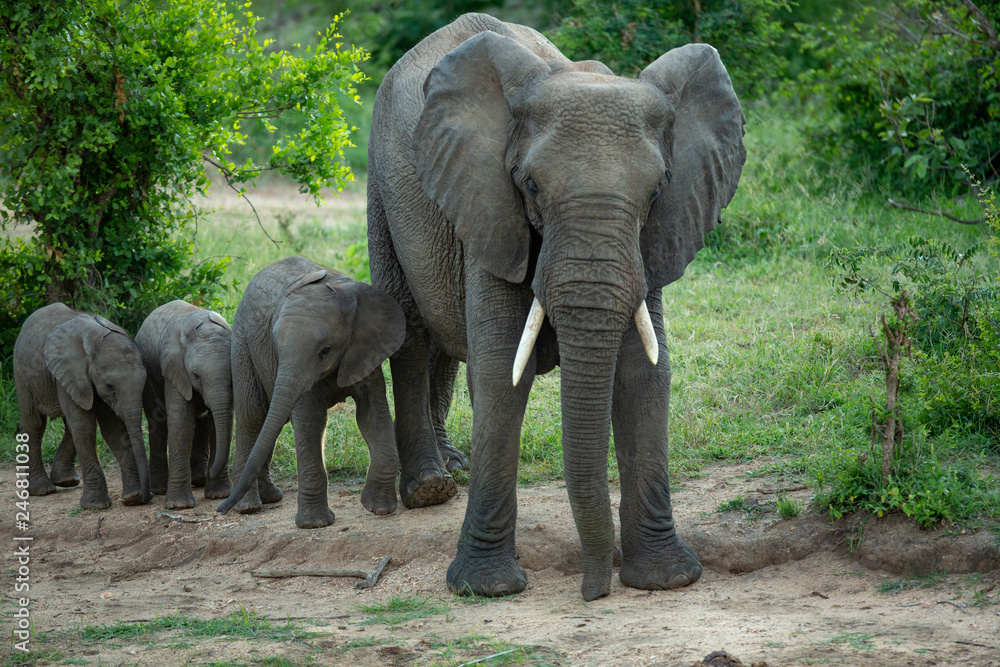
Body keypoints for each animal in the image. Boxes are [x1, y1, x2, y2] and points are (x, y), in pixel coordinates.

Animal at [13, 303, 152, 508]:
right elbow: (85, 427)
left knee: (69, 426)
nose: (146, 498)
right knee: (35, 423)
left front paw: (132, 497)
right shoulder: (72, 371)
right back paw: (43, 490)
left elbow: (113, 430)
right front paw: (96, 505)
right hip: (23, 374)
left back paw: (66, 481)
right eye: (110, 386)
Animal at [136, 300, 234, 509]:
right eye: (196, 376)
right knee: (158, 424)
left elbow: (218, 421)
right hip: (148, 374)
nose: (213, 470)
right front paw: (178, 505)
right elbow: (181, 422)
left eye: (231, 375)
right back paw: (160, 489)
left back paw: (200, 479)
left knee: (201, 418)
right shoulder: (174, 368)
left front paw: (219, 494)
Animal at [216, 256, 407, 529]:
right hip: (242, 344)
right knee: (252, 416)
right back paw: (248, 507)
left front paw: (378, 508)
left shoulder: (365, 349)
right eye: (276, 348)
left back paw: (270, 497)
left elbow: (372, 413)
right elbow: (310, 420)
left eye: (325, 351)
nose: (220, 510)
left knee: (269, 421)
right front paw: (315, 524)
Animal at [366, 14, 745, 600]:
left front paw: (667, 578)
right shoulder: (493, 208)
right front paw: (486, 587)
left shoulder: (651, 243)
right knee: (410, 329)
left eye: (657, 190)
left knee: (444, 342)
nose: (594, 589)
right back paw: (429, 487)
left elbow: (643, 372)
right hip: (382, 190)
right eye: (530, 185)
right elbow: (500, 372)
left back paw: (452, 466)